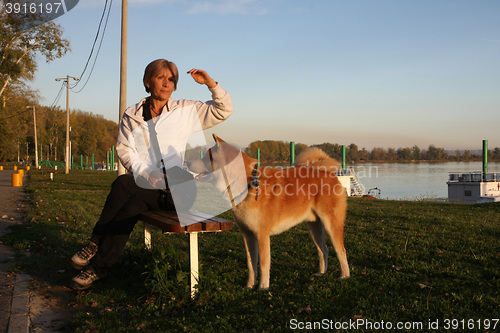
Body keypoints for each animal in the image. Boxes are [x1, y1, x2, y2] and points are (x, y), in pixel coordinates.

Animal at [188, 134, 352, 288]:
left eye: (207, 157)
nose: (187, 162)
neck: (248, 183)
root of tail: (328, 173)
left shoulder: (262, 234)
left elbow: (263, 264)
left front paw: (263, 287)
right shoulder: (247, 234)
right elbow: (251, 264)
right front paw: (249, 286)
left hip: (331, 224)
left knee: (341, 250)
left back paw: (345, 276)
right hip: (314, 227)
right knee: (323, 250)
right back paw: (321, 273)